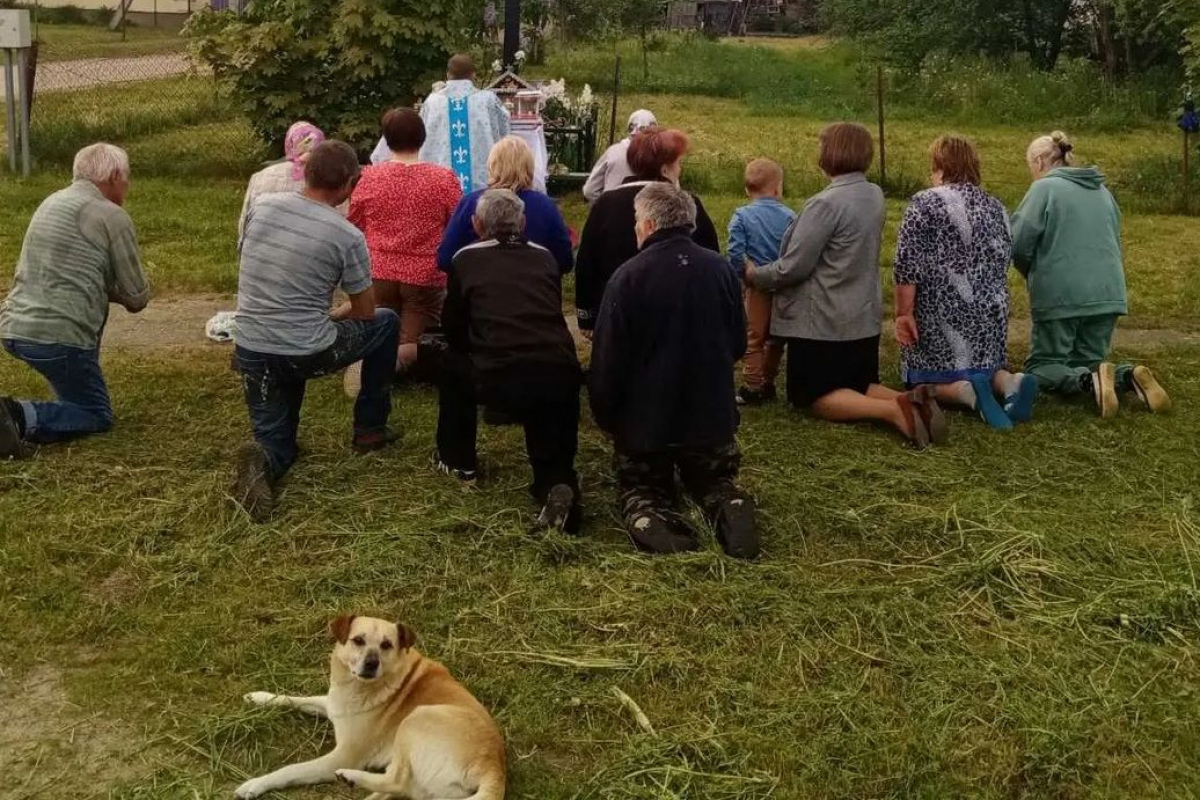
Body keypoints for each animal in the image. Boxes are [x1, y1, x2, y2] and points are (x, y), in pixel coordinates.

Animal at [234, 618, 506, 796]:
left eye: (387, 645)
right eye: (358, 640)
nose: (371, 663)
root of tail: (494, 770)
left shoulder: (342, 756)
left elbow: (289, 770)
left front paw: (255, 784)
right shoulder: (331, 704)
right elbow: (294, 699)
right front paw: (258, 697)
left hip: (416, 718)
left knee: (397, 782)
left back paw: (350, 777)